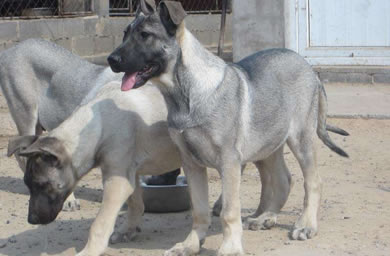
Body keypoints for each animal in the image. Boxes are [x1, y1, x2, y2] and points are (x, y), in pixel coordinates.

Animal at [108, 1, 348, 255]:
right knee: (283, 179)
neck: (186, 94)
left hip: (300, 139)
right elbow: (199, 210)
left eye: (145, 35)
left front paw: (230, 247)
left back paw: (306, 225)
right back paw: (266, 217)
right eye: (124, 34)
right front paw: (191, 244)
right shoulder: (191, 163)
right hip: (267, 144)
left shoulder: (229, 161)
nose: (111, 60)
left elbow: (229, 211)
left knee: (313, 182)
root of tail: (309, 67)